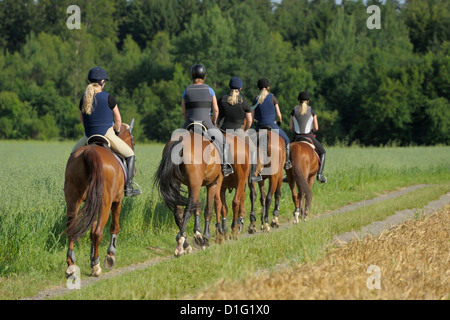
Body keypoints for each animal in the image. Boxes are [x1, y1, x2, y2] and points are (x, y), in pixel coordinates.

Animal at [64, 120, 136, 278]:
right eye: (133, 140)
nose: (134, 171)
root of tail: (89, 152)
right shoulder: (117, 201)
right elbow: (114, 227)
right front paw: (110, 256)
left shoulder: (93, 203)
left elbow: (91, 230)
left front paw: (91, 258)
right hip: (105, 203)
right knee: (98, 232)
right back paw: (97, 267)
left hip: (73, 199)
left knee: (72, 229)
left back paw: (71, 265)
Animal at [155, 126, 223, 256]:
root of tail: (181, 141)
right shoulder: (212, 183)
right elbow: (208, 210)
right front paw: (205, 238)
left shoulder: (191, 185)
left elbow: (197, 207)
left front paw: (198, 235)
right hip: (196, 184)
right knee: (188, 210)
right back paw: (181, 243)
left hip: (178, 183)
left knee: (179, 212)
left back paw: (185, 244)